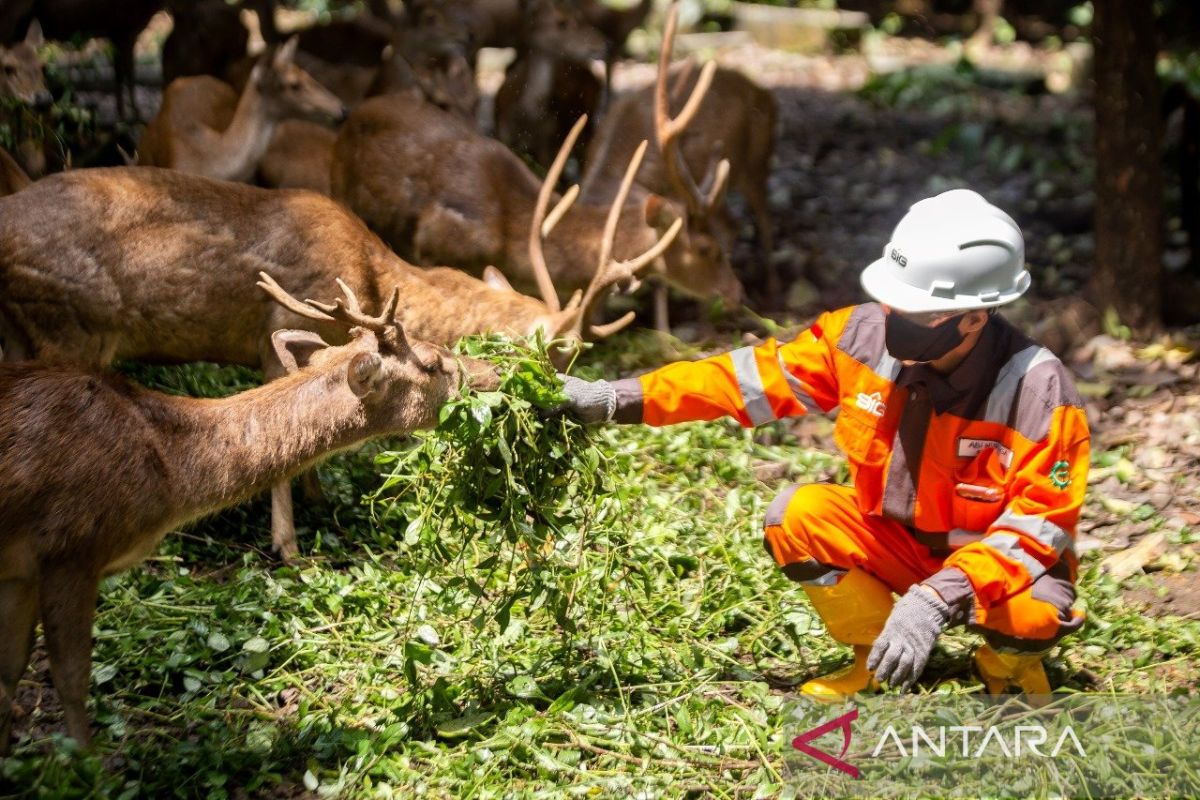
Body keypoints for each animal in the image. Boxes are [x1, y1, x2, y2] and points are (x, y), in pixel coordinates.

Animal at [0, 158, 667, 563]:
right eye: (560, 348)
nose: (551, 392)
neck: (370, 276)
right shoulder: (280, 325)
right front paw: (289, 547)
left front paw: (320, 498)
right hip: (69, 326)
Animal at [0, 277, 496, 758]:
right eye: (432, 363)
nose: (491, 371)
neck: (165, 471)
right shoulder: (71, 545)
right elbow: (70, 676)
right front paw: (87, 765)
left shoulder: (22, 571)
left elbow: (12, 668)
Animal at [578, 3, 777, 321]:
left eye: (705, 250)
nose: (738, 294)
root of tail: (765, 94)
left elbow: (661, 281)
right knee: (734, 222)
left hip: (757, 161)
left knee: (763, 218)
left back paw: (767, 291)